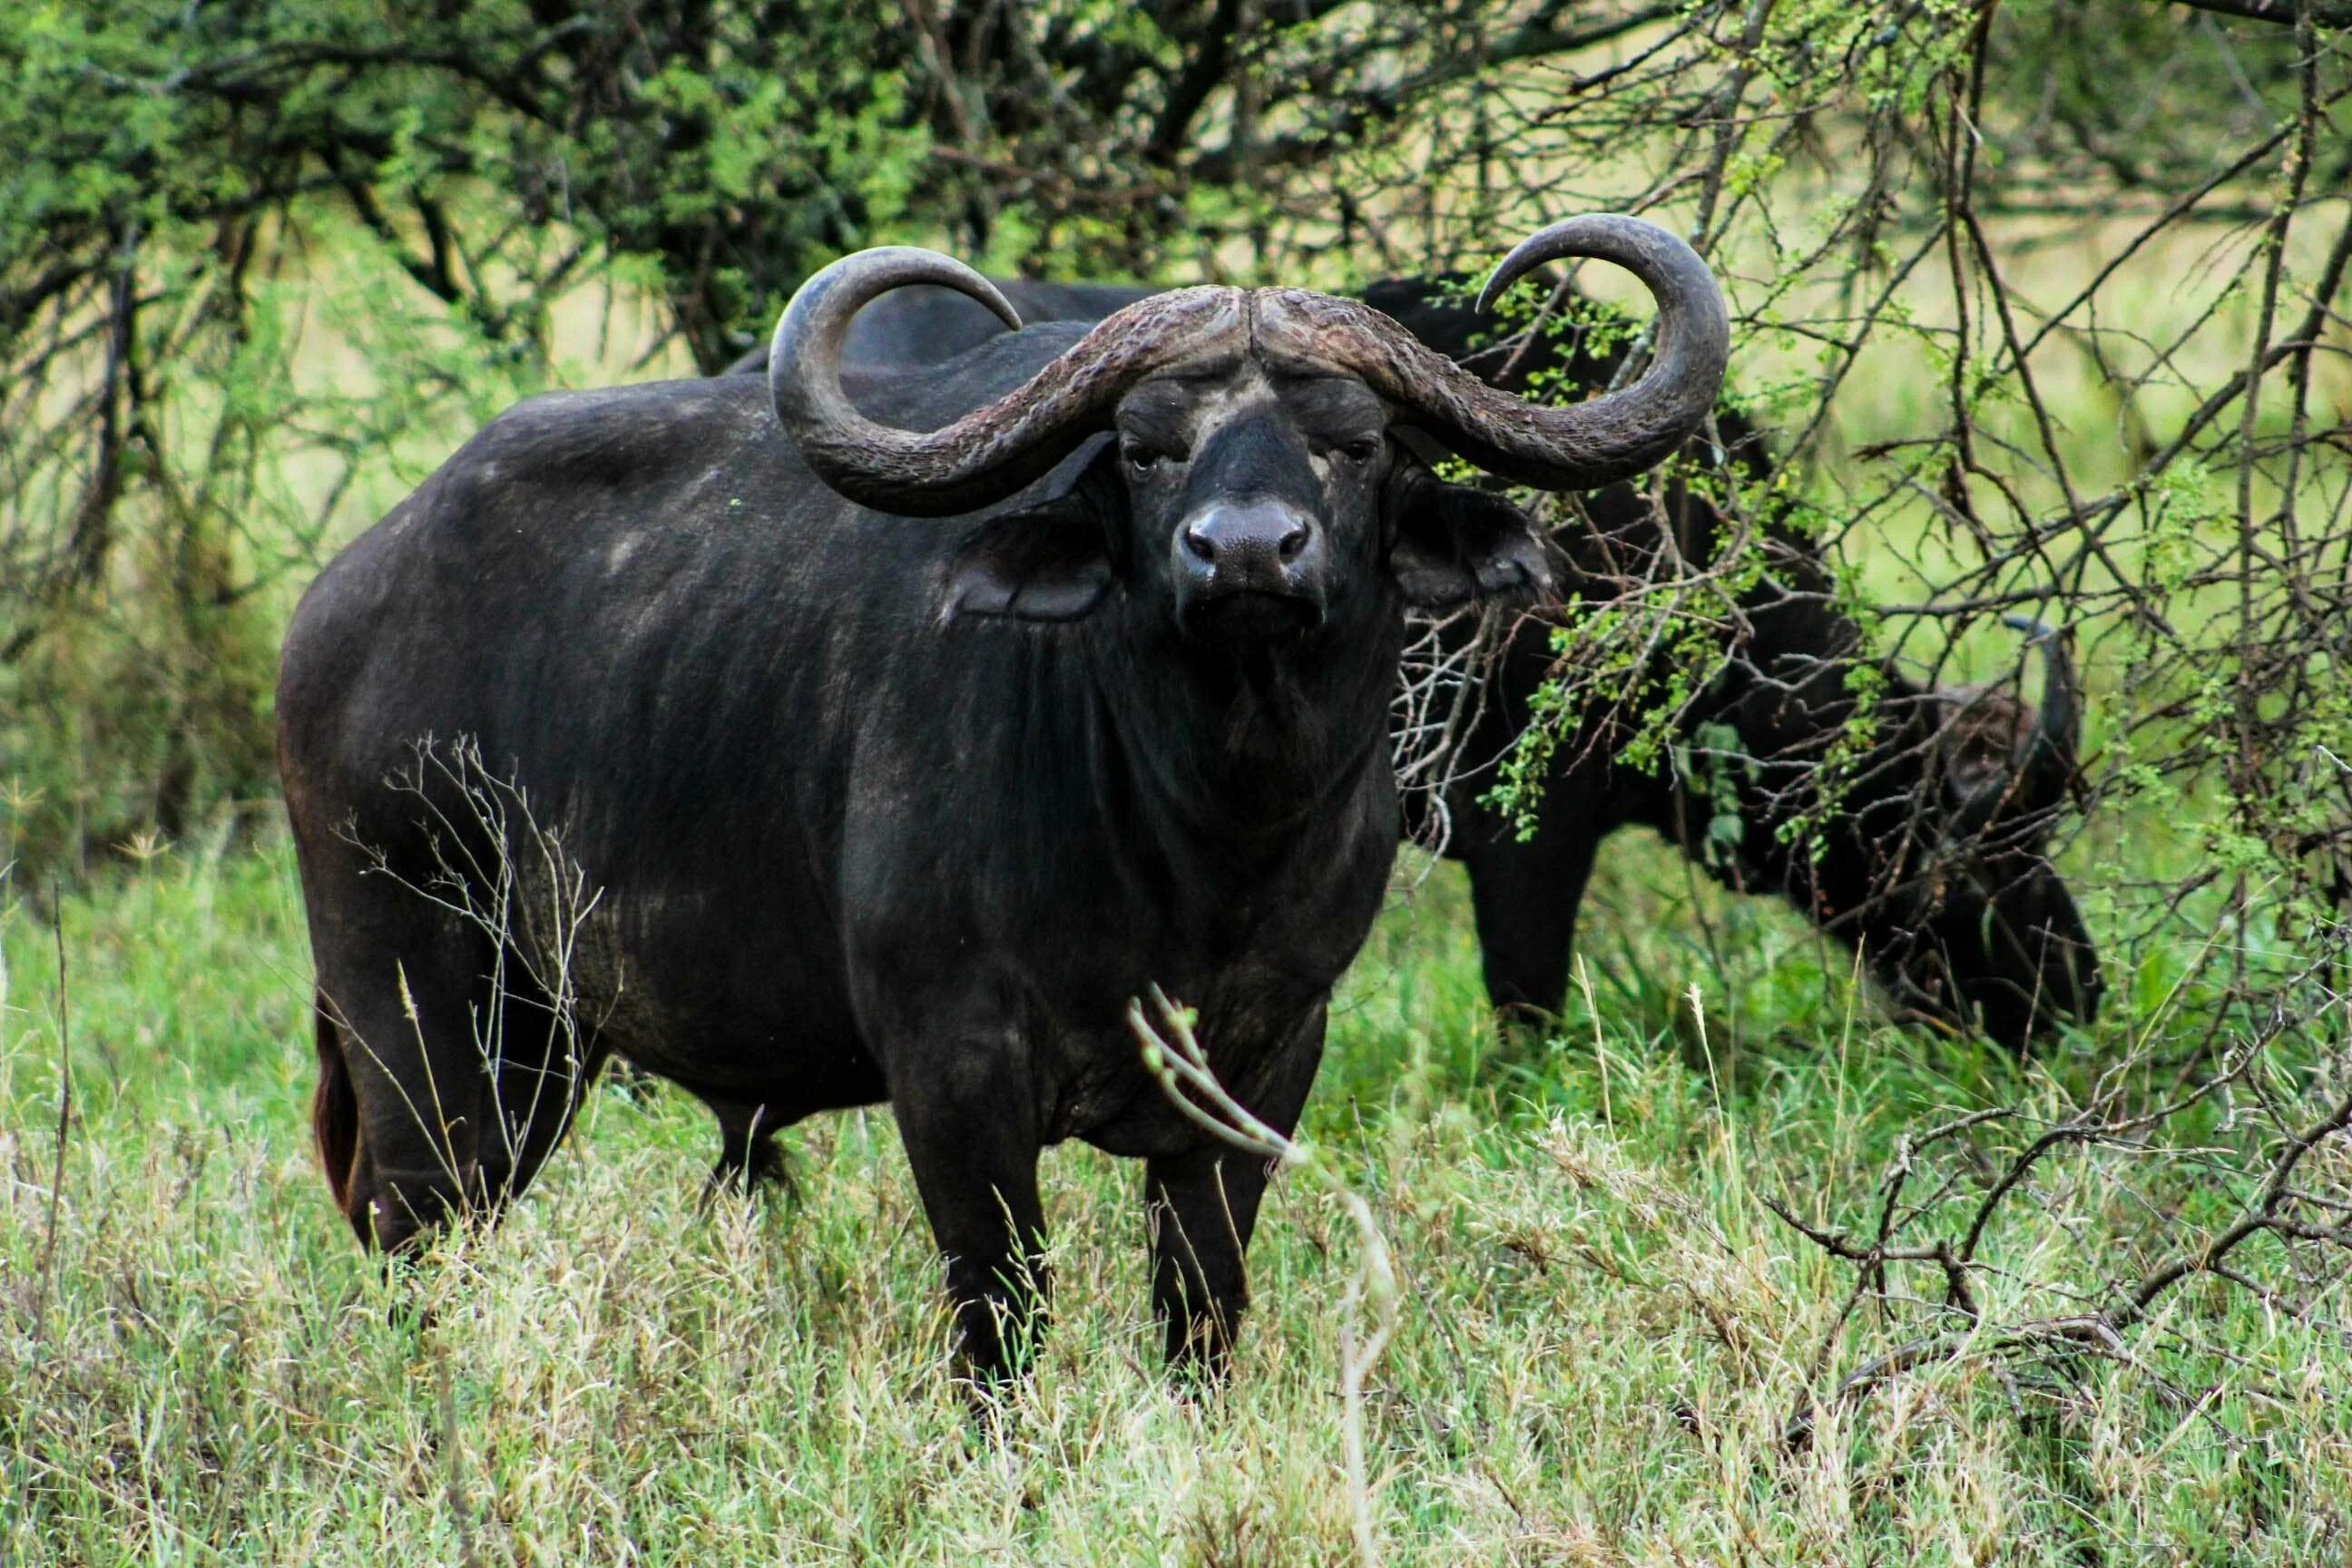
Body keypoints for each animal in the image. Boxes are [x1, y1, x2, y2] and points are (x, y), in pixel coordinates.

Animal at [284, 217, 1740, 1372]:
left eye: (1358, 444)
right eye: (1146, 450)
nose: (1247, 554)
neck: (1200, 847)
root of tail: (341, 606)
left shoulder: (1271, 1062)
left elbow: (1202, 1300)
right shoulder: (953, 1075)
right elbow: (1003, 1313)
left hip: (541, 1041)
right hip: (433, 1025)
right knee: (415, 1223)